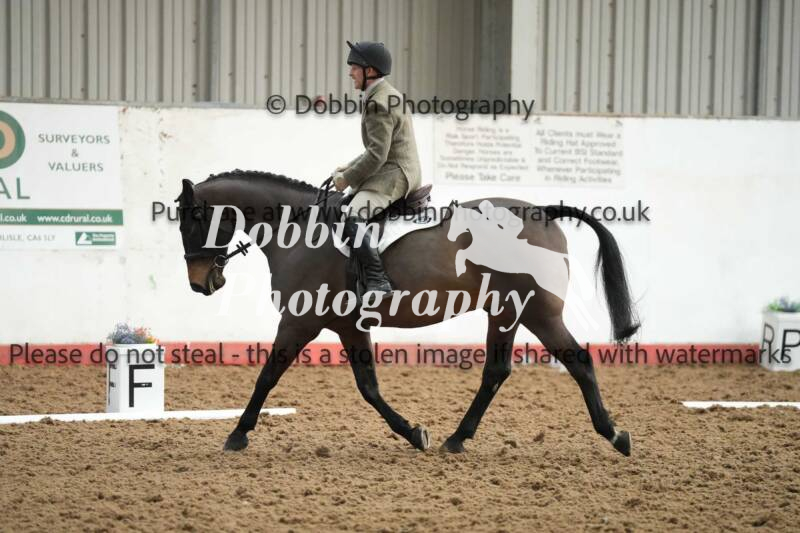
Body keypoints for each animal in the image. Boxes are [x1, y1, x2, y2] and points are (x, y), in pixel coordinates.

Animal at [175, 169, 639, 456]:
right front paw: (415, 433)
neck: (301, 229)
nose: (200, 284)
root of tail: (541, 212)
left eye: (190, 221)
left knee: (577, 361)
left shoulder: (299, 321)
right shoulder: (348, 325)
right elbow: (369, 387)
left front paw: (237, 433)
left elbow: (268, 375)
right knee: (498, 371)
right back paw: (457, 438)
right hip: (506, 311)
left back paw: (615, 435)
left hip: (536, 312)